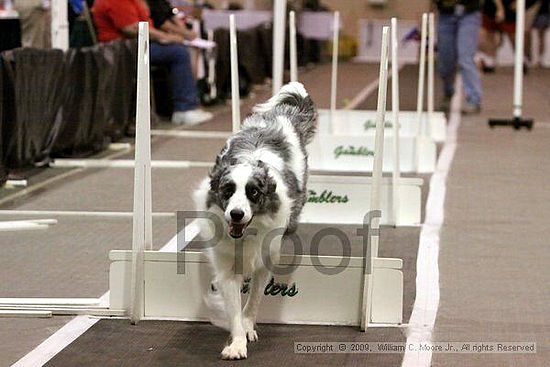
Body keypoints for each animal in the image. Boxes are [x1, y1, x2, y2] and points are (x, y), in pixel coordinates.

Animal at [194, 82, 316, 360]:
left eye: (253, 193)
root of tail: (280, 114)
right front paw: (237, 343)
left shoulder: (265, 261)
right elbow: (233, 307)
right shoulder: (227, 267)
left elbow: (254, 299)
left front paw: (248, 326)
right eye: (228, 190)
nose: (236, 214)